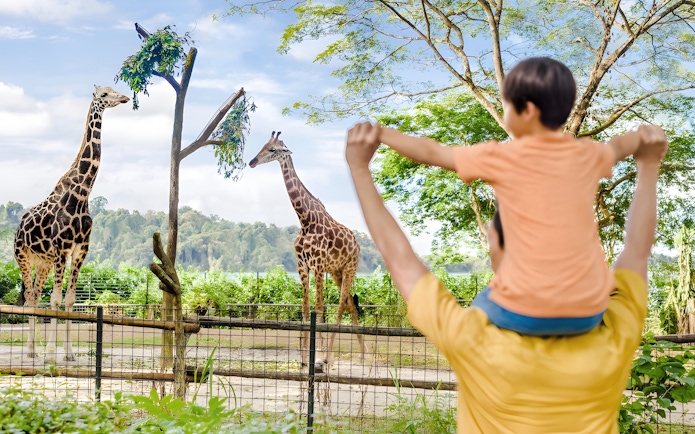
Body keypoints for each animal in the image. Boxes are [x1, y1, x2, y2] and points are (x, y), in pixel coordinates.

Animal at [14, 85, 129, 361]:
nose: (124, 98)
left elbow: (69, 300)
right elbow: (55, 300)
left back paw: (33, 349)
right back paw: (32, 351)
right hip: (22, 256)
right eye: (104, 94)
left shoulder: (79, 251)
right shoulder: (62, 249)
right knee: (31, 295)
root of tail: (18, 229)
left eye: (114, 90)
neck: (82, 194)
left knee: (35, 296)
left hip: (43, 262)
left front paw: (68, 353)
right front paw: (51, 352)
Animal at [249, 131, 366, 372]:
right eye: (263, 145)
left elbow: (319, 308)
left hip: (350, 268)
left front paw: (318, 357)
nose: (252, 162)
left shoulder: (318, 266)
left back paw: (330, 357)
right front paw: (304, 359)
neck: (305, 219)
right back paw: (363, 354)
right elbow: (305, 309)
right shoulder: (302, 266)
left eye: (273, 150)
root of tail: (358, 244)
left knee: (341, 306)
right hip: (337, 271)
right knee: (350, 304)